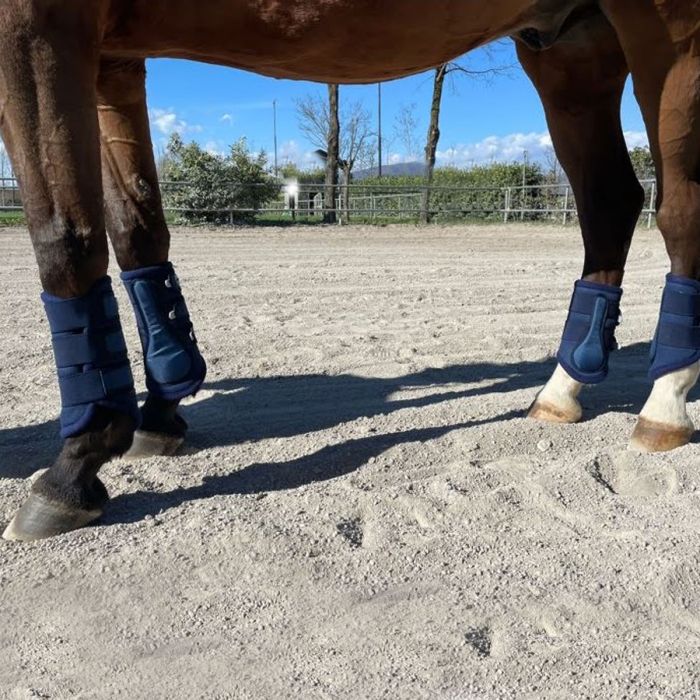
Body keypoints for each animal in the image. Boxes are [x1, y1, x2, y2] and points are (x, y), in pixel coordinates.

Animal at [1, 0, 698, 540]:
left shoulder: (41, 23)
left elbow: (64, 237)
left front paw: (74, 466)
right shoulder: (115, 55)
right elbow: (136, 231)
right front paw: (162, 409)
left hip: (668, 32)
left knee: (679, 211)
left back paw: (665, 404)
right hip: (572, 48)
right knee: (609, 203)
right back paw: (562, 390)